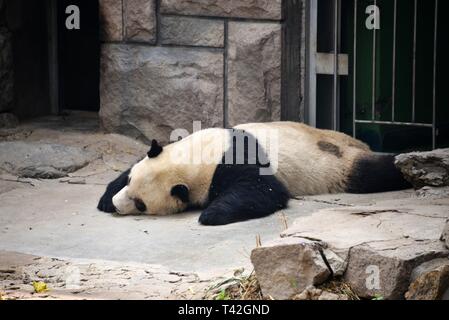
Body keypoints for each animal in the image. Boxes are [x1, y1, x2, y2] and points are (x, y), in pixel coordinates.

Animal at [98, 122, 410, 225]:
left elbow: (264, 190)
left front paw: (210, 214)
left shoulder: (237, 161)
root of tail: (359, 144)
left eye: (141, 204)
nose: (117, 205)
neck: (201, 156)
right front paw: (104, 199)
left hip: (337, 164)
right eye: (130, 183)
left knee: (371, 172)